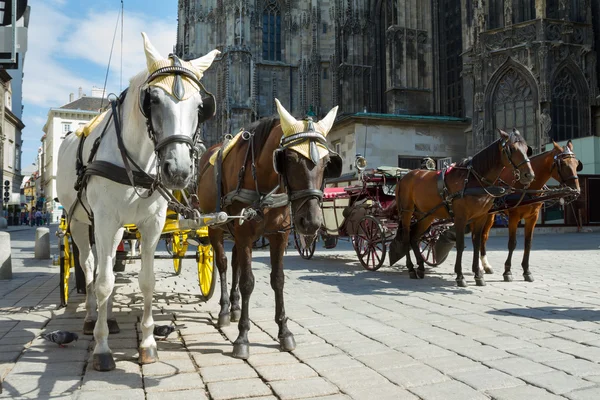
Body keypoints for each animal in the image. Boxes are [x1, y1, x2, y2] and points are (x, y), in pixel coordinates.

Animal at [55, 32, 220, 370]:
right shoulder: (104, 221)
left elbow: (146, 281)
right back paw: (91, 318)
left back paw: (107, 318)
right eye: (152, 100)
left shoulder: (151, 224)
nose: (178, 171)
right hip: (79, 221)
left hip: (115, 227)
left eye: (201, 106)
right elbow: (103, 282)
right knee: (89, 266)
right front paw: (102, 348)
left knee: (104, 265)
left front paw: (147, 343)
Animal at [195, 100, 340, 360]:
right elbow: (248, 282)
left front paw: (284, 331)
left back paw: (235, 307)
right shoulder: (244, 234)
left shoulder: (279, 235)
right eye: (289, 158)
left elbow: (278, 279)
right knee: (223, 264)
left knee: (235, 263)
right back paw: (224, 311)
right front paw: (242, 337)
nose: (311, 222)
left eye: (327, 163)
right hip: (215, 227)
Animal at [394, 130, 536, 286]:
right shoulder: (461, 218)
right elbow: (461, 245)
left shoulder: (480, 217)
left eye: (526, 149)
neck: (475, 180)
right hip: (407, 212)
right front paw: (460, 276)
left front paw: (478, 275)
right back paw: (411, 268)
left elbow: (477, 243)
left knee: (414, 238)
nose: (529, 175)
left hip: (426, 215)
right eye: (511, 149)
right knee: (406, 237)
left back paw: (420, 267)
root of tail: (404, 177)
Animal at [478, 141, 580, 282]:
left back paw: (485, 265)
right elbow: (512, 243)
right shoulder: (514, 217)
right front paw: (507, 271)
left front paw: (526, 271)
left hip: (490, 215)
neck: (527, 187)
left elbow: (528, 243)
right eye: (563, 164)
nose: (576, 191)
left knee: (483, 236)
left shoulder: (533, 217)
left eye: (576, 164)